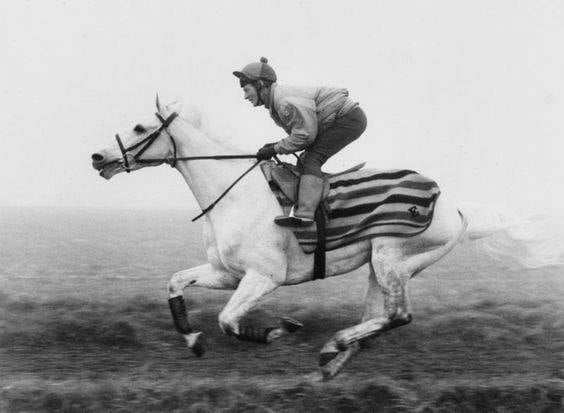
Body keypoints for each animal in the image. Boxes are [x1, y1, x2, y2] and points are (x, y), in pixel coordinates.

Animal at [91, 98, 560, 378]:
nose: (98, 157)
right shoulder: (227, 273)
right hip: (380, 267)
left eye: (138, 127)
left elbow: (228, 320)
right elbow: (175, 283)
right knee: (379, 322)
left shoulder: (264, 277)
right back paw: (331, 365)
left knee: (399, 315)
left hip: (392, 258)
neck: (236, 193)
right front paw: (192, 339)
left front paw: (279, 330)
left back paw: (332, 346)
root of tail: (455, 207)